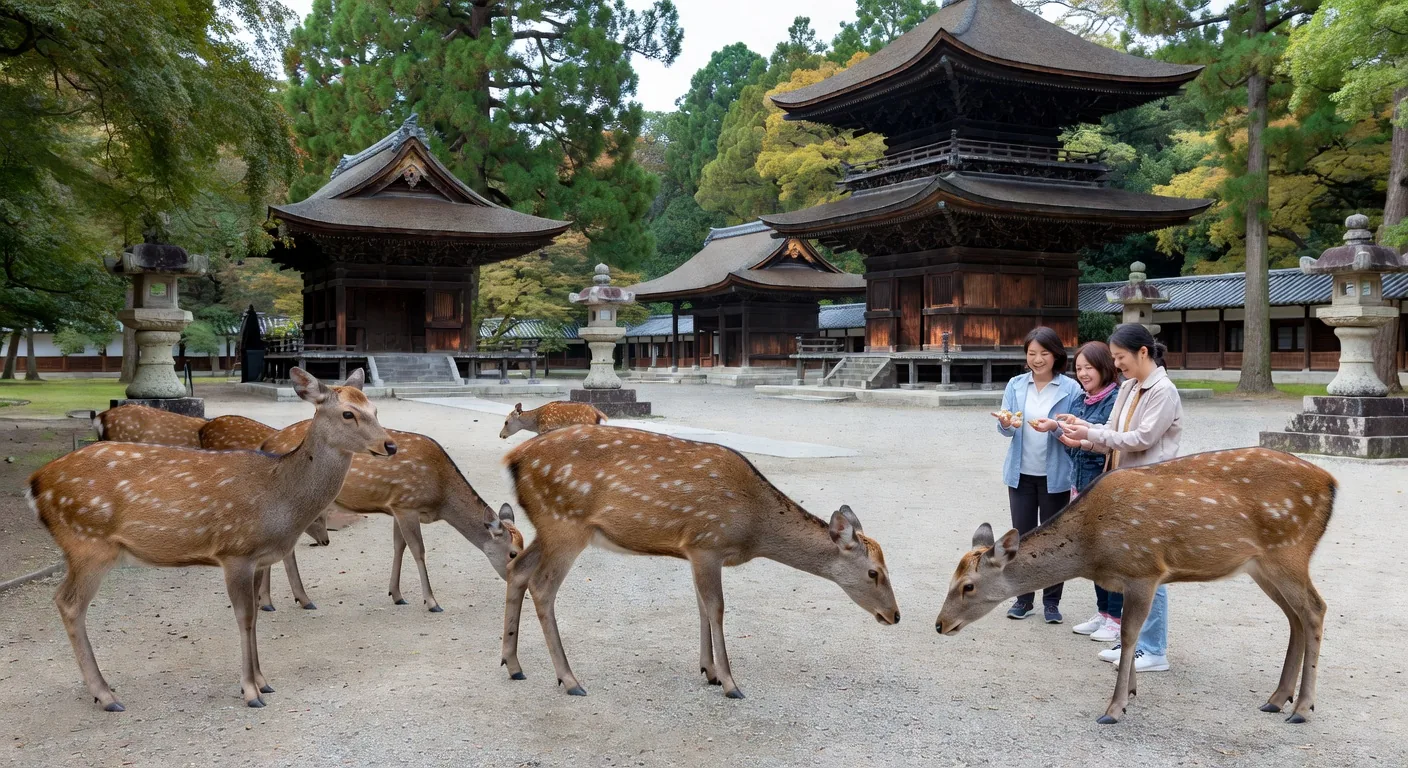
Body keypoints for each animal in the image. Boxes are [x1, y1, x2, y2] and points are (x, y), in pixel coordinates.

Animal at [30, 368, 395, 711]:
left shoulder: (258, 559)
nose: (390, 445)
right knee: (69, 603)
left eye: (375, 409)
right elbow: (244, 618)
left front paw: (264, 682)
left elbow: (257, 615)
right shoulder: (236, 551)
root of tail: (34, 484)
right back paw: (106, 695)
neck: (280, 497)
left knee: (64, 600)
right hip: (89, 544)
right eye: (348, 413)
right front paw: (250, 692)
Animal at [260, 422, 523, 612]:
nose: (520, 582)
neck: (442, 497)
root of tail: (265, 444)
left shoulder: (397, 506)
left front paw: (397, 595)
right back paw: (291, 600)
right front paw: (432, 602)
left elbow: (399, 546)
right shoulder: (407, 504)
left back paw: (276, 600)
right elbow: (418, 550)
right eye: (513, 553)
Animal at [500, 424, 900, 699]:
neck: (753, 528)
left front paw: (708, 671)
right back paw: (569, 679)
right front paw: (730, 682)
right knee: (542, 585)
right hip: (565, 523)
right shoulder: (708, 543)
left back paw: (513, 664)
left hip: (547, 527)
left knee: (517, 569)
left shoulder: (694, 551)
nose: (895, 615)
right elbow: (716, 607)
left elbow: (701, 606)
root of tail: (513, 459)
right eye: (874, 572)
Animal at [935, 447, 1335, 725]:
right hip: (1262, 567)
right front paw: (1130, 690)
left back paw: (1302, 707)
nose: (940, 624)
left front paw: (1115, 707)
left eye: (967, 586)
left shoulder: (1143, 569)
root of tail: (1332, 483)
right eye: (951, 578)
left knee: (1315, 609)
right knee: (1295, 617)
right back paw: (1277, 698)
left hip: (1288, 552)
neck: (1092, 549)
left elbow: (1129, 635)